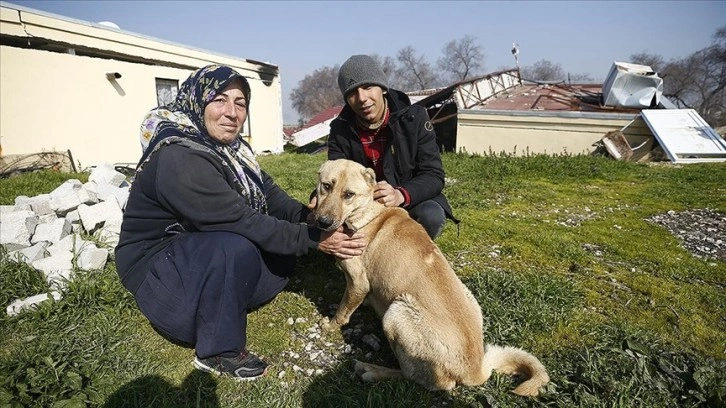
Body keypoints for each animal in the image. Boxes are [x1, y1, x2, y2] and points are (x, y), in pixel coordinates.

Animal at [314, 159, 552, 396]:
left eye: (349, 194)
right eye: (326, 186)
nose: (322, 222)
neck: (368, 211)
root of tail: (475, 370)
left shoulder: (358, 282)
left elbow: (343, 311)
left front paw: (330, 325)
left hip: (396, 312)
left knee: (420, 379)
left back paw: (372, 370)